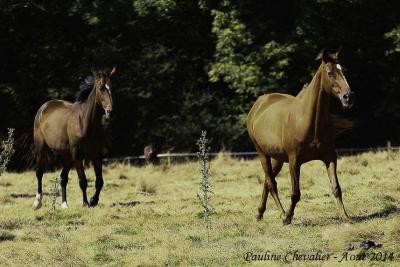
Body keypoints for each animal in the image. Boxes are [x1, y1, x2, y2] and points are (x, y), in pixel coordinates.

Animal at [32, 68, 114, 210]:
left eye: (111, 86)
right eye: (101, 88)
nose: (109, 109)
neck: (85, 123)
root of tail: (43, 107)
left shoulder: (96, 155)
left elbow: (99, 181)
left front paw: (93, 200)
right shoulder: (77, 155)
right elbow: (83, 180)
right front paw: (86, 203)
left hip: (67, 156)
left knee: (63, 177)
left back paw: (64, 203)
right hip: (41, 149)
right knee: (39, 172)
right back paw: (37, 202)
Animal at [248, 49, 354, 225]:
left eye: (345, 70)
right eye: (330, 72)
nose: (348, 97)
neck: (309, 121)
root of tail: (258, 104)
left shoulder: (330, 156)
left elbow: (336, 188)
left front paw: (345, 217)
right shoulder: (294, 161)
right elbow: (295, 193)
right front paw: (288, 217)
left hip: (277, 158)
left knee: (267, 181)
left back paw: (259, 213)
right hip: (262, 153)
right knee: (272, 183)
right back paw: (281, 214)